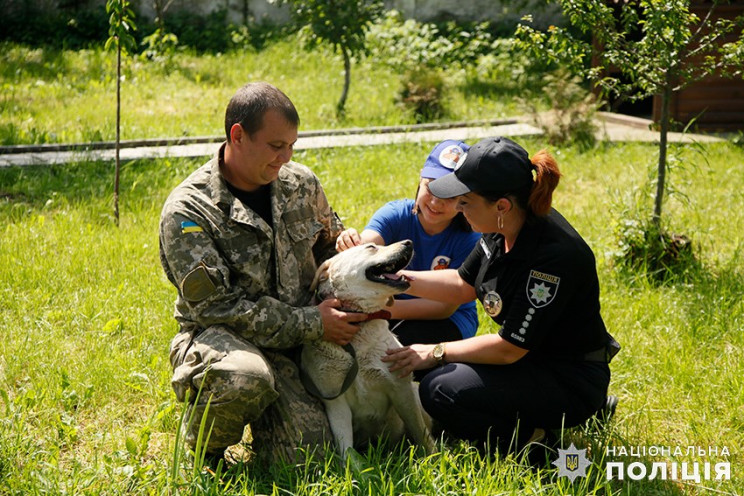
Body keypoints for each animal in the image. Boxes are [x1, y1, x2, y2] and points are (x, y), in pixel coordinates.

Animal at [300, 238, 434, 460]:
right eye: (371, 247)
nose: (408, 242)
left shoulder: (402, 389)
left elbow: (421, 432)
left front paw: (434, 458)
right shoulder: (335, 401)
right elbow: (346, 448)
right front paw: (353, 468)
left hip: (417, 394)